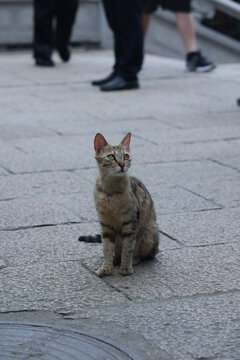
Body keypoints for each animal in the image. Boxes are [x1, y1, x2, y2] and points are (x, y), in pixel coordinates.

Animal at [79, 134, 160, 278]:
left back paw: (134, 259)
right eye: (111, 156)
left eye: (126, 156)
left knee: (150, 253)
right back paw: (116, 258)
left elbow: (128, 248)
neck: (111, 191)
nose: (122, 164)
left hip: (148, 233)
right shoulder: (105, 225)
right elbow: (106, 249)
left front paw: (126, 267)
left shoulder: (130, 223)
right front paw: (106, 267)